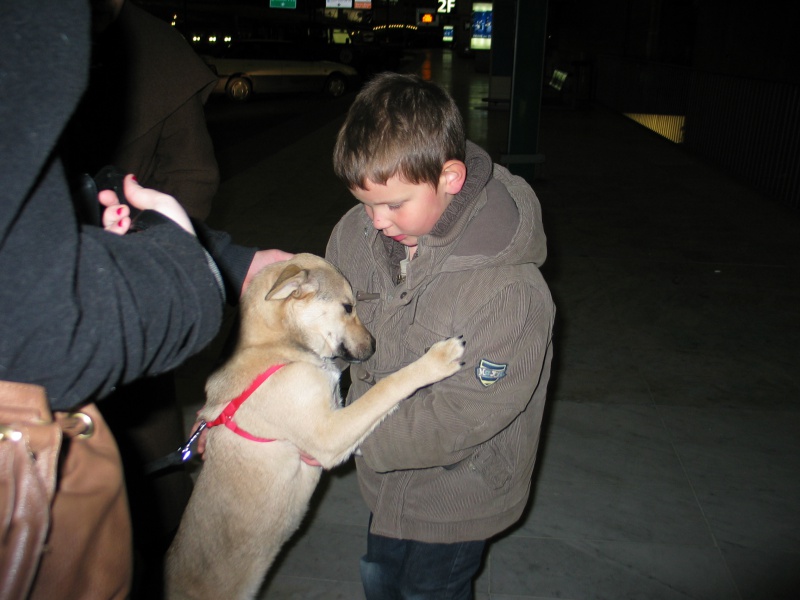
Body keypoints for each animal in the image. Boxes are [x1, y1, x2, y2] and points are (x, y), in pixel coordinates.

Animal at [166, 254, 466, 600]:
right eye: (347, 307)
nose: (374, 346)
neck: (276, 346)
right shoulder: (329, 433)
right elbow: (387, 387)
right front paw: (437, 360)